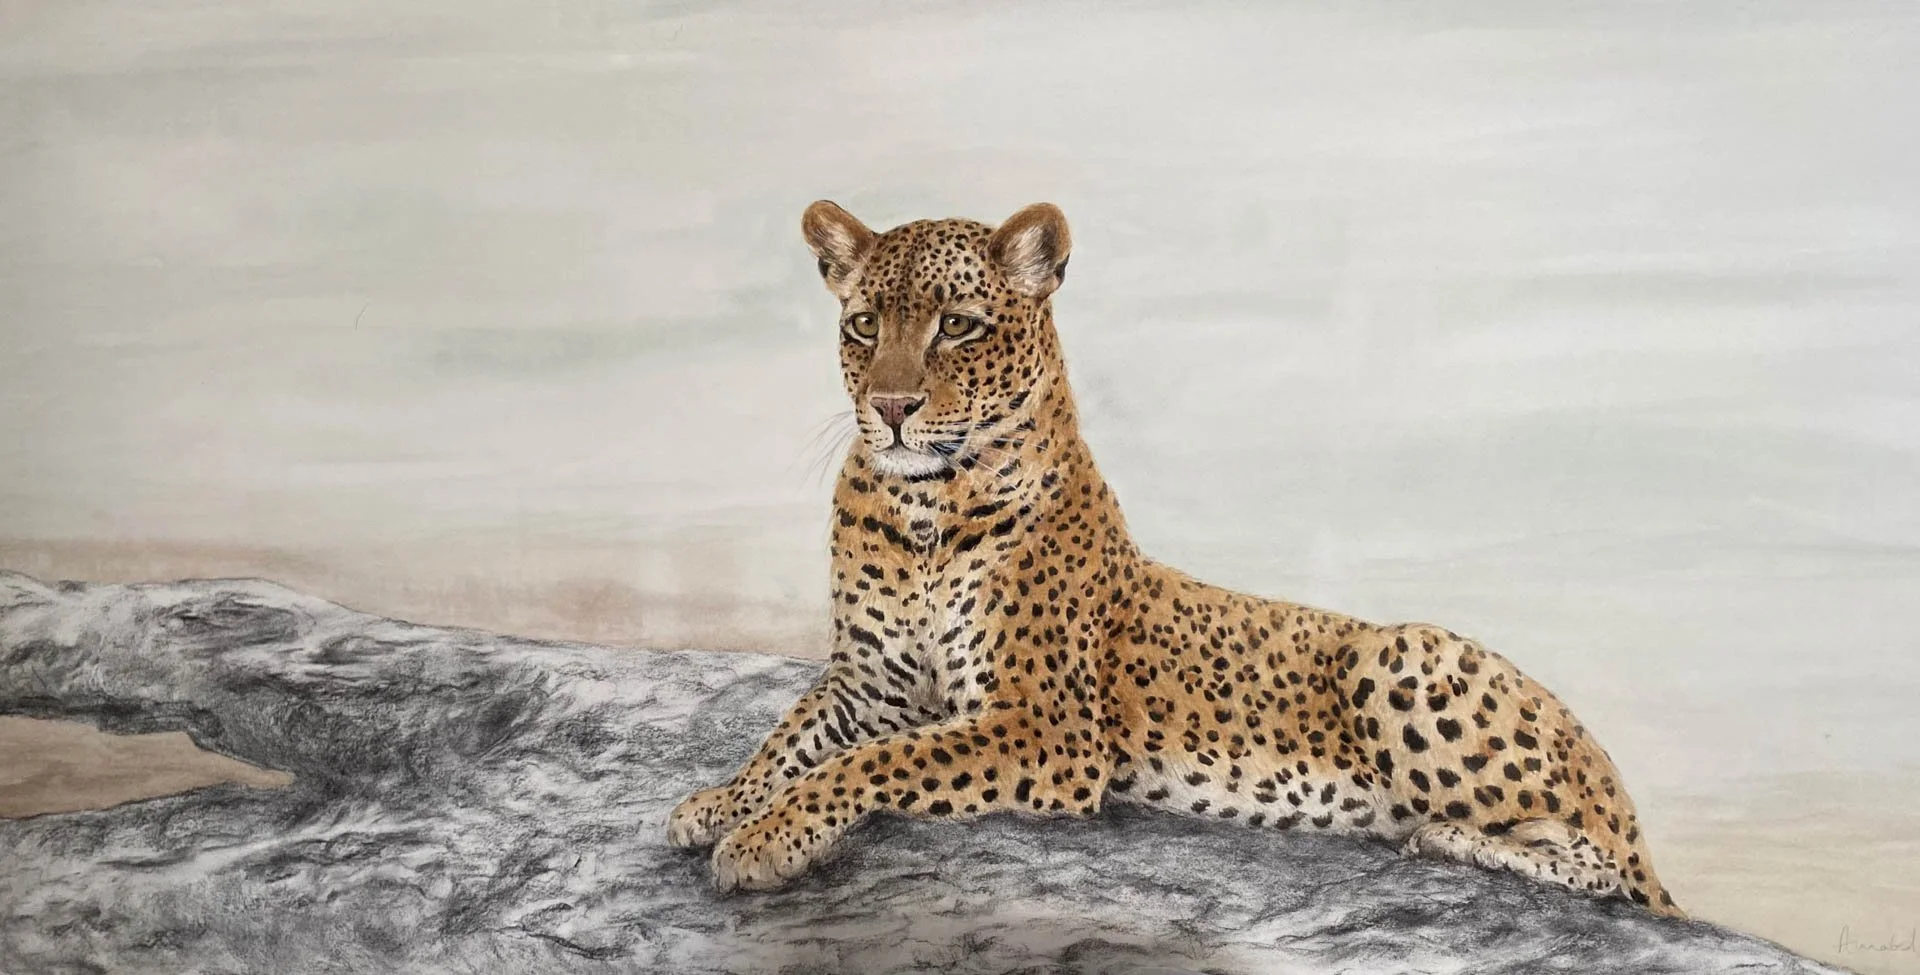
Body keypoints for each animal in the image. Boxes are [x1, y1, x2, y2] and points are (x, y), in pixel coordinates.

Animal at [667, 200, 1684, 918]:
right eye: (865, 325)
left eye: (957, 325)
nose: (891, 407)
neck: (922, 509)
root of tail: (1609, 771)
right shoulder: (867, 680)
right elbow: (792, 737)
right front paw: (718, 802)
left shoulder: (1049, 728)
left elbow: (870, 765)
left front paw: (762, 841)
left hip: (1399, 654)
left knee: (1606, 865)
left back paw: (1449, 841)